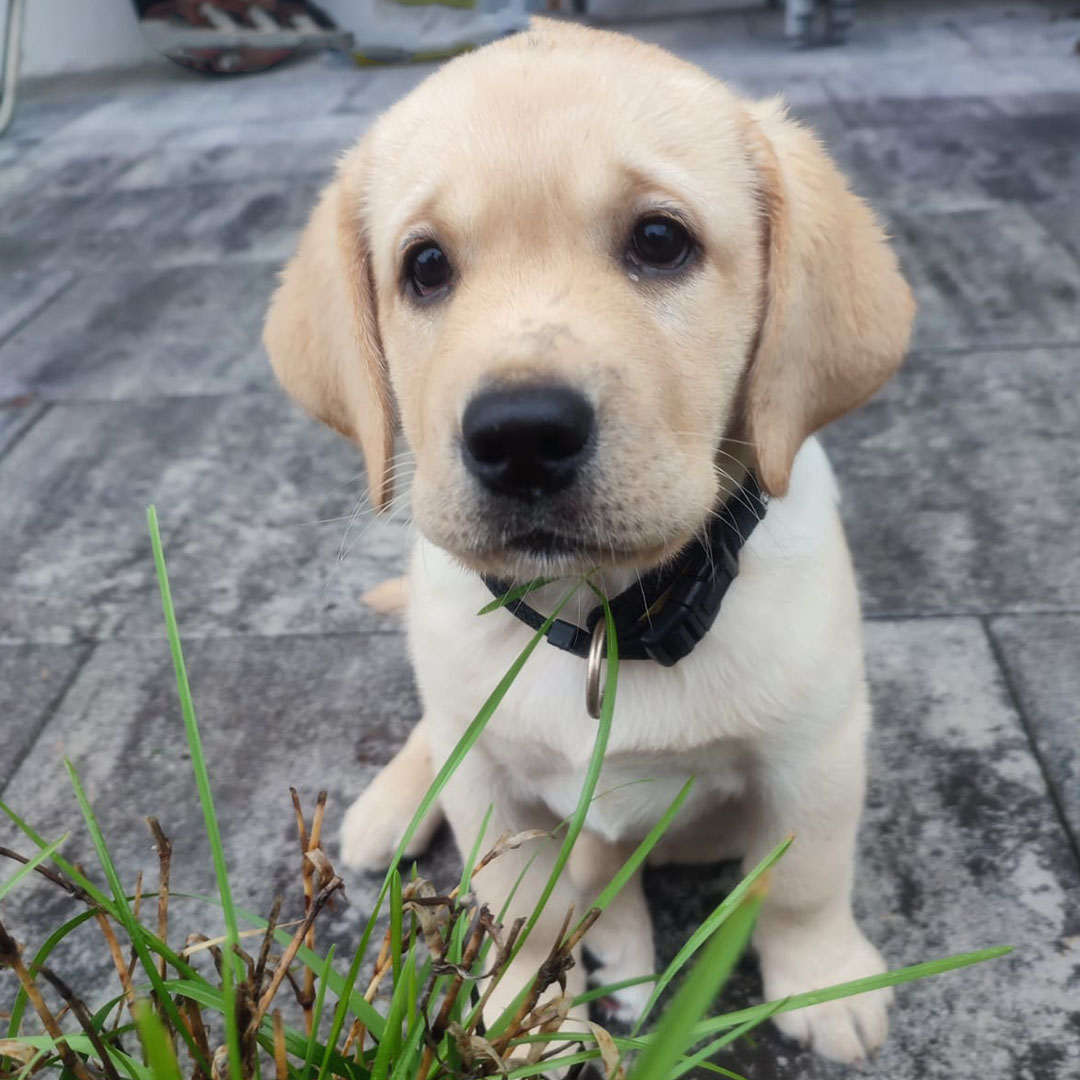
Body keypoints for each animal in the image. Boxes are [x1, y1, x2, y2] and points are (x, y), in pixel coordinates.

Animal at [261, 16, 911, 1062]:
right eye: (425, 267)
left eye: (660, 241)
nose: (521, 435)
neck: (608, 617)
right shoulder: (493, 786)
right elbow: (512, 911)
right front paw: (513, 1018)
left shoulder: (816, 750)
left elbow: (806, 879)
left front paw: (822, 983)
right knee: (436, 734)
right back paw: (392, 809)